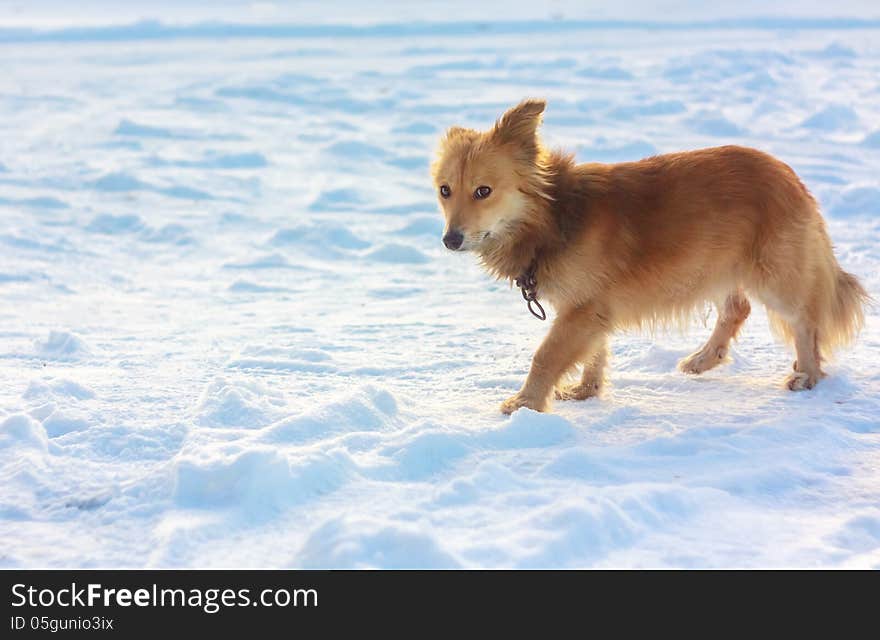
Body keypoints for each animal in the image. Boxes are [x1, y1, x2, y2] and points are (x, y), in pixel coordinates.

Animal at [432, 96, 868, 416]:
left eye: (484, 191)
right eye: (445, 190)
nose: (450, 239)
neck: (552, 217)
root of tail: (788, 174)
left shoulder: (582, 309)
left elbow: (546, 356)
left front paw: (526, 403)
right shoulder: (591, 308)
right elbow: (595, 350)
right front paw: (587, 390)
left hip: (773, 275)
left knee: (805, 322)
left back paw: (807, 375)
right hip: (713, 265)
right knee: (737, 309)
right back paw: (703, 360)